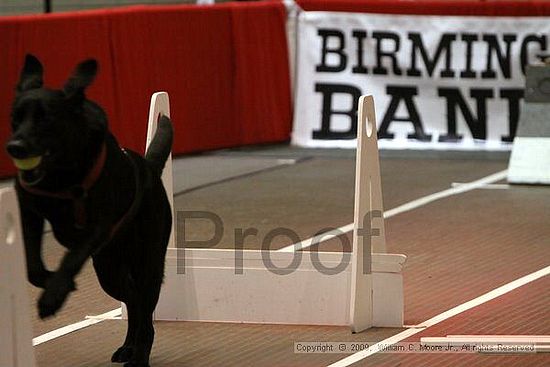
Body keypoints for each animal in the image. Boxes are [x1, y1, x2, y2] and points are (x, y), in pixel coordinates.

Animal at [6, 55, 174, 367]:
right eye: (15, 118)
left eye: (46, 118)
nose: (15, 147)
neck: (61, 174)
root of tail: (149, 168)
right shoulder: (29, 212)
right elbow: (33, 266)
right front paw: (50, 283)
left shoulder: (97, 226)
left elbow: (71, 258)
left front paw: (53, 295)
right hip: (109, 270)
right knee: (132, 300)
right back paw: (128, 347)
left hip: (147, 261)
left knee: (145, 310)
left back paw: (139, 356)